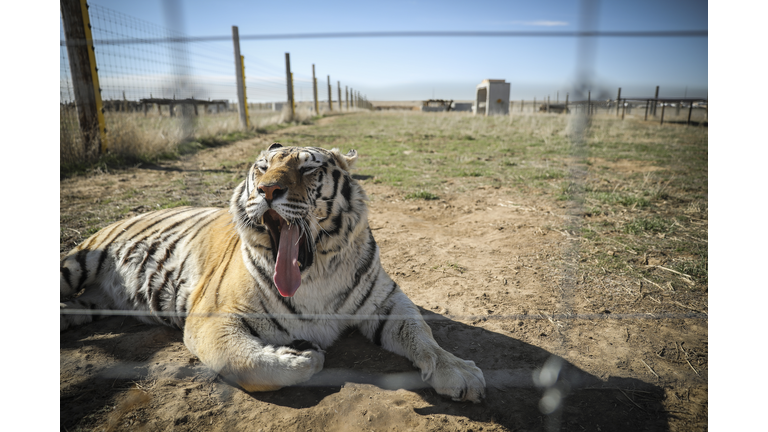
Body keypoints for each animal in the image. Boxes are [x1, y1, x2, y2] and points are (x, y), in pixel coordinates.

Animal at [60, 143, 484, 404]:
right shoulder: (211, 317)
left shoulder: (386, 302)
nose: (266, 190)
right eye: (262, 168)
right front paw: (304, 357)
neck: (316, 273)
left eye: (307, 168)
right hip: (75, 264)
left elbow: (423, 335)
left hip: (91, 302)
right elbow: (243, 360)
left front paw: (459, 372)